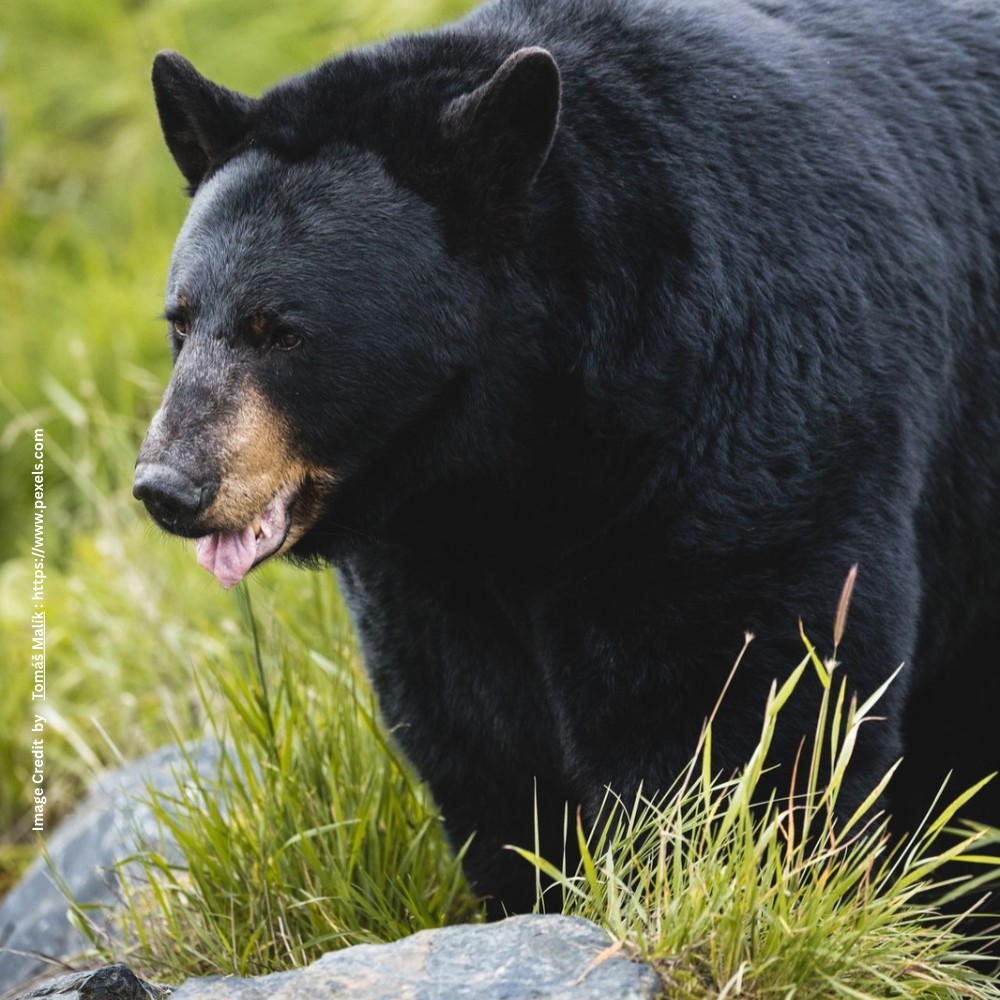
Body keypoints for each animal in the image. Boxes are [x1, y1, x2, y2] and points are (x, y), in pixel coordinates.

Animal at [134, 0, 1000, 920]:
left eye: (281, 331)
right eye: (181, 320)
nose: (168, 486)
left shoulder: (740, 419)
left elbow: (745, 693)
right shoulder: (429, 561)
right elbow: (474, 731)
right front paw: (538, 888)